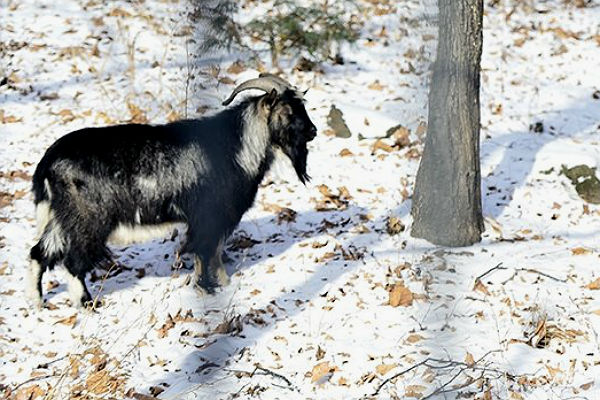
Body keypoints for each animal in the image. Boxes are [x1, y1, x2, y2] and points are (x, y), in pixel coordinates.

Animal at [27, 73, 318, 308]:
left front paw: (222, 283)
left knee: (39, 252)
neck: (238, 146)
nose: (313, 131)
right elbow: (205, 251)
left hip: (61, 219)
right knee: (72, 261)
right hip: (87, 219)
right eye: (288, 111)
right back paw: (86, 304)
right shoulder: (208, 217)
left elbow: (213, 252)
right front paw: (208, 289)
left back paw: (38, 302)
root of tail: (47, 164)